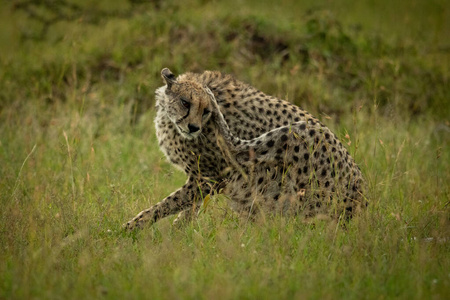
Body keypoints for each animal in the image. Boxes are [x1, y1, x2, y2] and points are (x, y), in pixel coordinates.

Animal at [125, 68, 366, 230]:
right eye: (185, 102)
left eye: (205, 112)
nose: (193, 127)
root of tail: (361, 206)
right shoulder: (202, 178)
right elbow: (187, 206)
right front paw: (178, 231)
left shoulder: (210, 177)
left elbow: (171, 202)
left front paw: (133, 227)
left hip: (295, 135)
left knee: (237, 145)